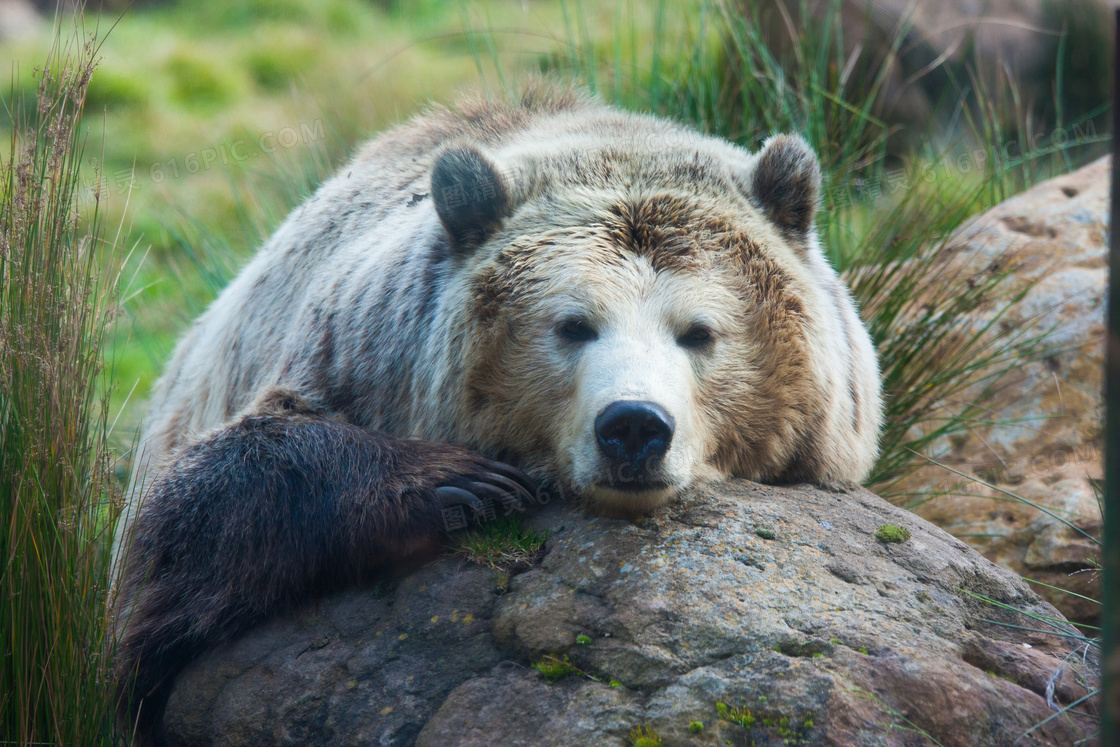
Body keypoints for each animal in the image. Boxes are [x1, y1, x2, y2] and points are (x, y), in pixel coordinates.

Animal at [113, 83, 882, 730]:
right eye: (573, 325)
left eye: (698, 331)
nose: (633, 427)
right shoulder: (342, 358)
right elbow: (185, 522)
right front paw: (458, 484)